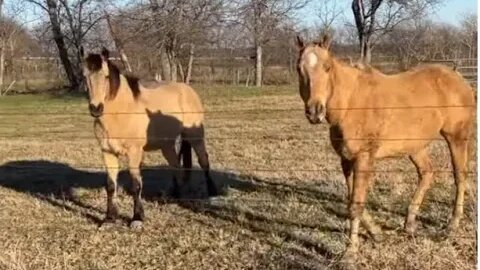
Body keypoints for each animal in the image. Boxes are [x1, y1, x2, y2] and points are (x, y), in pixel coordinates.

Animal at [80, 47, 218, 229]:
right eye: (84, 76)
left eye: (106, 76)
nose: (96, 108)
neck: (123, 111)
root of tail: (188, 90)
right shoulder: (107, 152)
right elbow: (110, 186)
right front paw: (109, 219)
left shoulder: (134, 153)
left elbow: (136, 185)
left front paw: (137, 218)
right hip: (167, 145)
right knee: (176, 166)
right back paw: (176, 195)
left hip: (195, 136)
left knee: (204, 161)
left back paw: (212, 192)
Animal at [294, 34, 474, 260]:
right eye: (299, 69)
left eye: (327, 67)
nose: (315, 111)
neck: (351, 104)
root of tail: (459, 79)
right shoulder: (346, 160)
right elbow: (353, 200)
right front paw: (377, 234)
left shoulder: (363, 157)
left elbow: (355, 205)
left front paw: (351, 251)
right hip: (415, 146)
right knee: (427, 173)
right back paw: (409, 223)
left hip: (456, 138)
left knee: (460, 176)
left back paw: (452, 225)